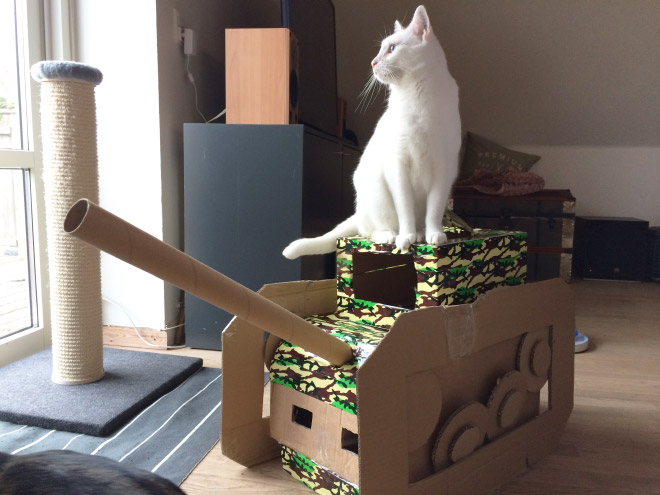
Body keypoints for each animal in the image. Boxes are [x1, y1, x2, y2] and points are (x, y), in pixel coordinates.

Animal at [282, 6, 458, 260]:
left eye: (392, 48)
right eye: (381, 48)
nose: (373, 62)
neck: (418, 97)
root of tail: (359, 211)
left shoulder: (443, 170)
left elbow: (433, 211)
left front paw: (434, 235)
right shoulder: (398, 165)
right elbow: (405, 210)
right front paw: (406, 239)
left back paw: (421, 232)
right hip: (376, 190)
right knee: (373, 230)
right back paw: (394, 236)